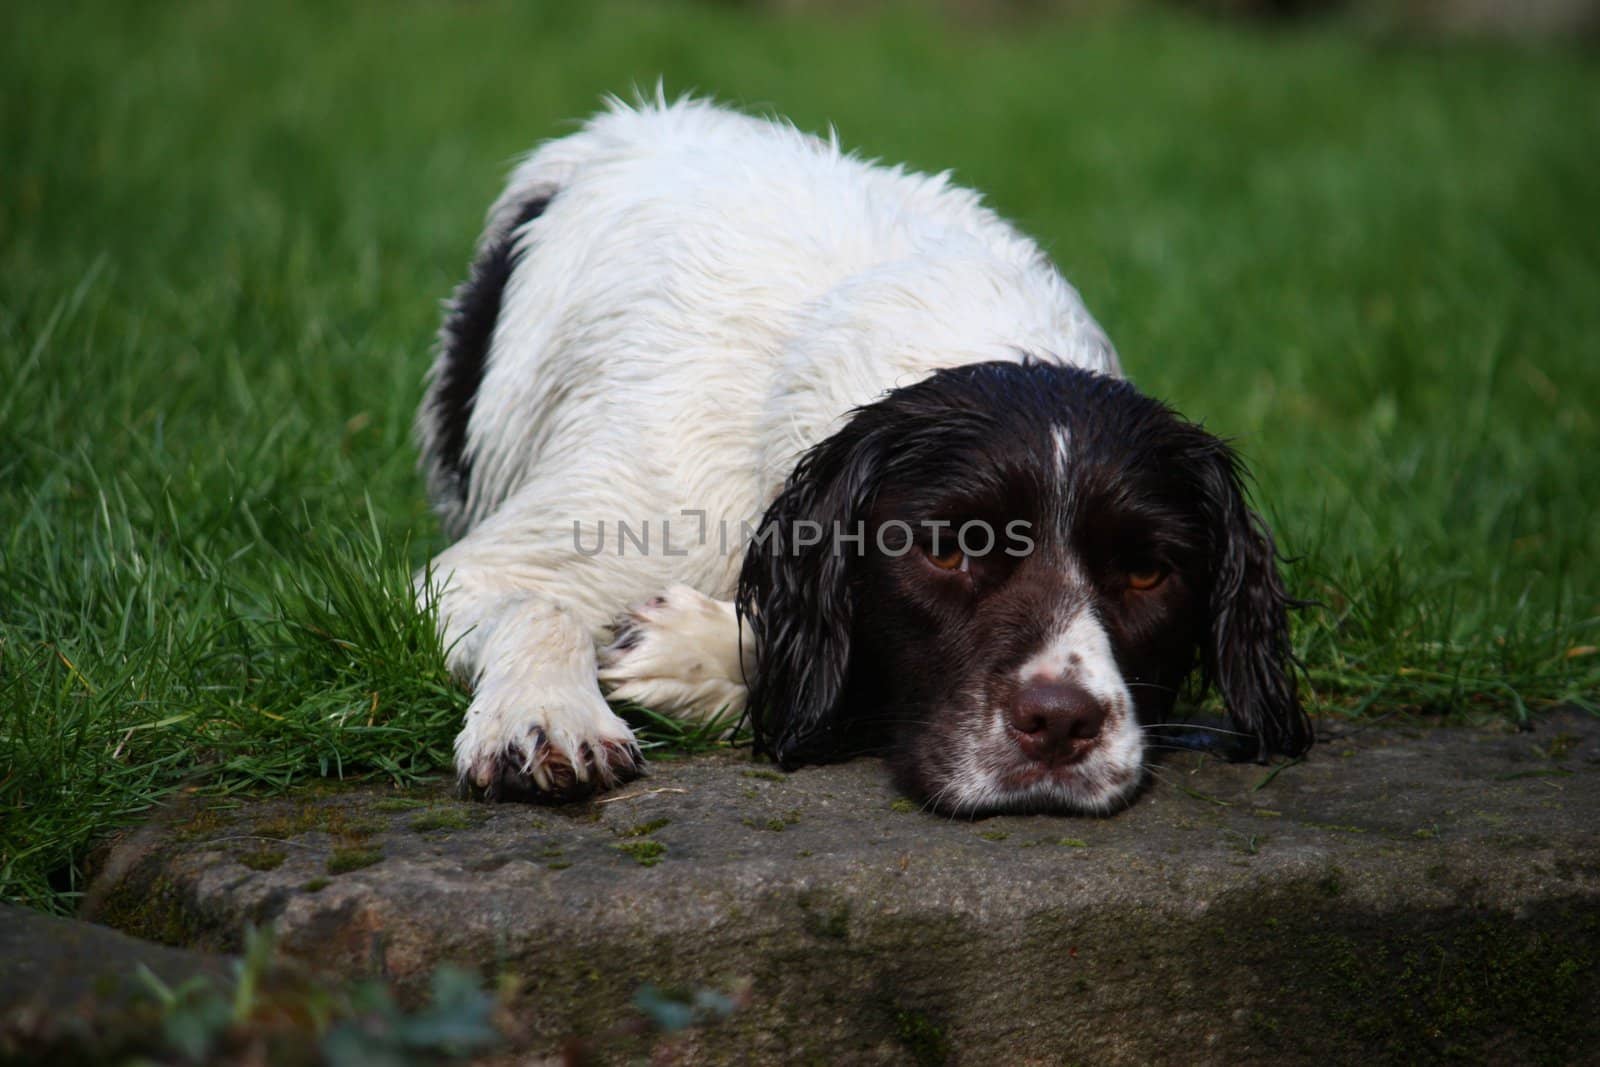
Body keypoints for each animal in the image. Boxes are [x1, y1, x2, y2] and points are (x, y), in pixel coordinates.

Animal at [416, 97, 1312, 819]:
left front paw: (695, 652)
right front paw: (544, 717)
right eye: (948, 550)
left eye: (1148, 573)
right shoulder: (524, 555)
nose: (1060, 722)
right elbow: (540, 604)